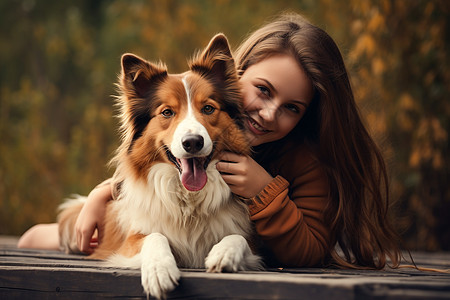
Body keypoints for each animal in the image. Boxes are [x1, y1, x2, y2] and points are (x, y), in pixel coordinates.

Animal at [56, 34, 262, 298]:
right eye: (167, 112)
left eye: (208, 108)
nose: (193, 142)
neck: (189, 204)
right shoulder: (131, 242)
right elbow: (154, 236)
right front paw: (159, 270)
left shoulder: (251, 243)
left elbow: (238, 237)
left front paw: (224, 253)